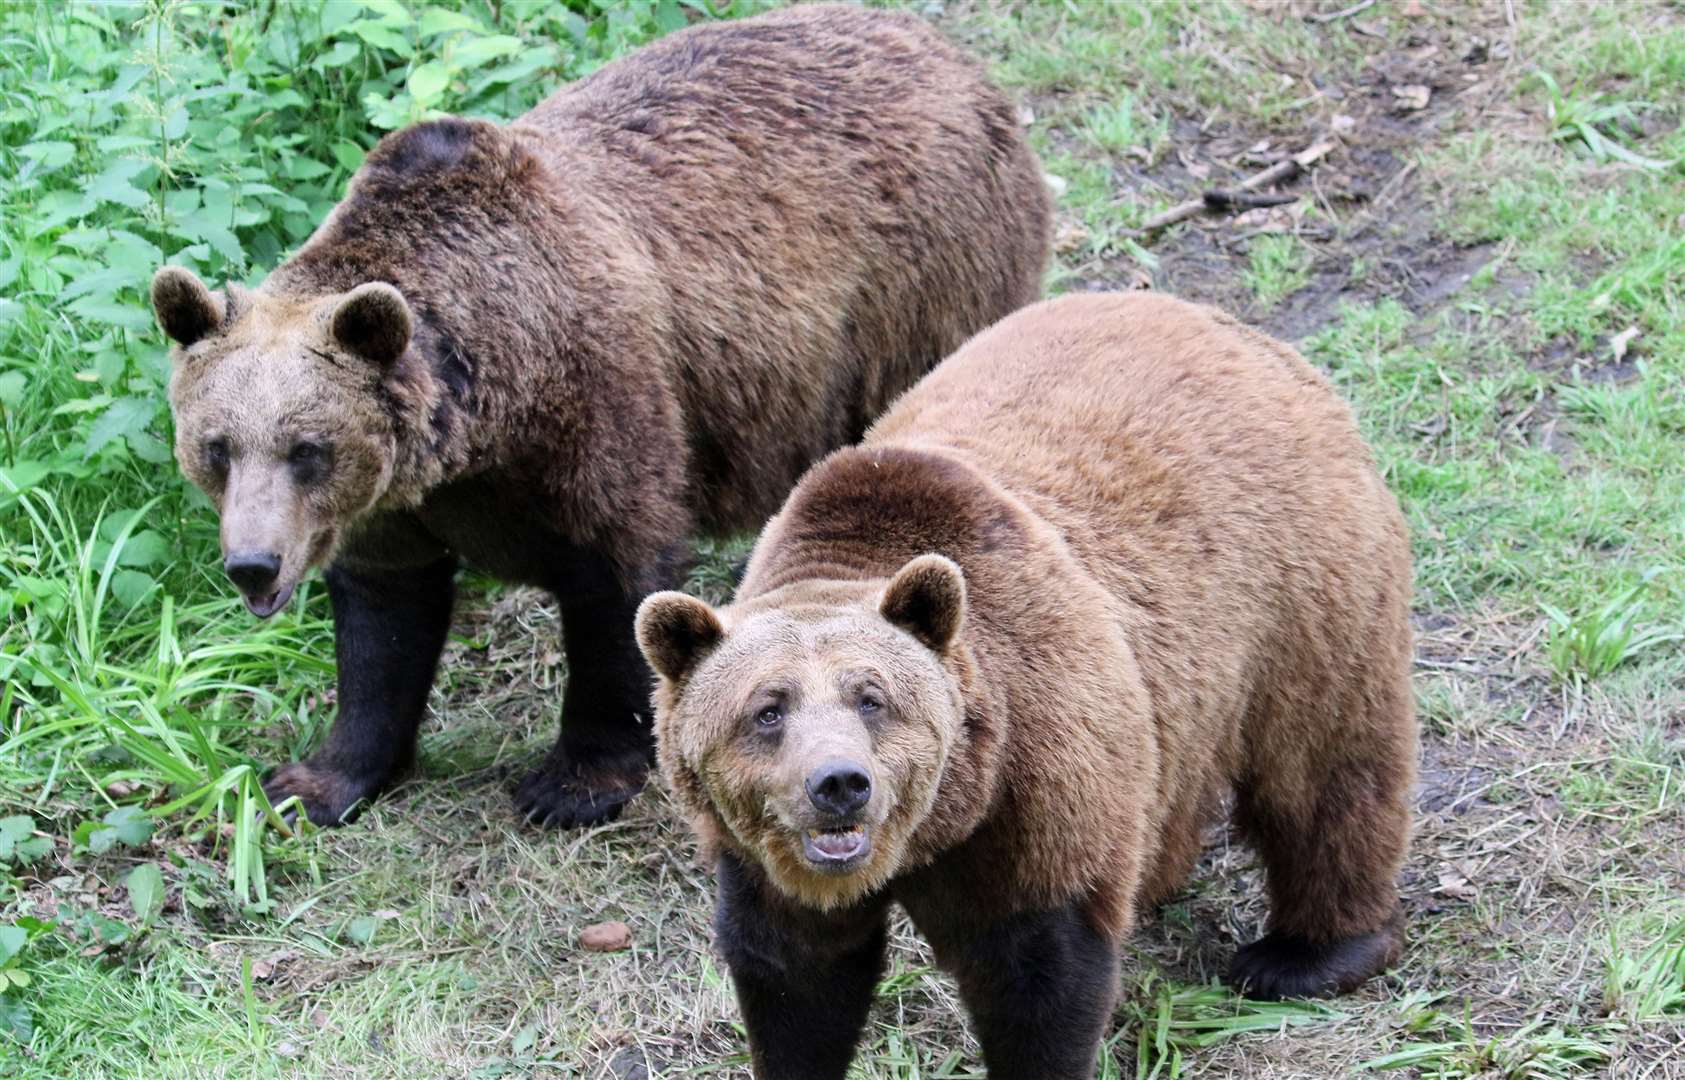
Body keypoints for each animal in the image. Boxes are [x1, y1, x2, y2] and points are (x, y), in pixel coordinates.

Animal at [151, 4, 1044, 825]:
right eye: (216, 447)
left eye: (307, 448)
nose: (253, 563)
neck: (487, 416)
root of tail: (955, 59)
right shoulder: (395, 502)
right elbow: (383, 625)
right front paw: (314, 780)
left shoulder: (595, 411)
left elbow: (616, 583)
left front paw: (572, 783)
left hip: (920, 292)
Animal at [636, 289, 1415, 1071]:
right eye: (767, 710)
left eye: (873, 699)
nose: (839, 783)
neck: (935, 830)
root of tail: (1226, 327)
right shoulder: (768, 858)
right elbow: (796, 975)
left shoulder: (1035, 779)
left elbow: (1038, 970)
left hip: (1300, 595)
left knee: (1322, 769)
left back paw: (1306, 953)